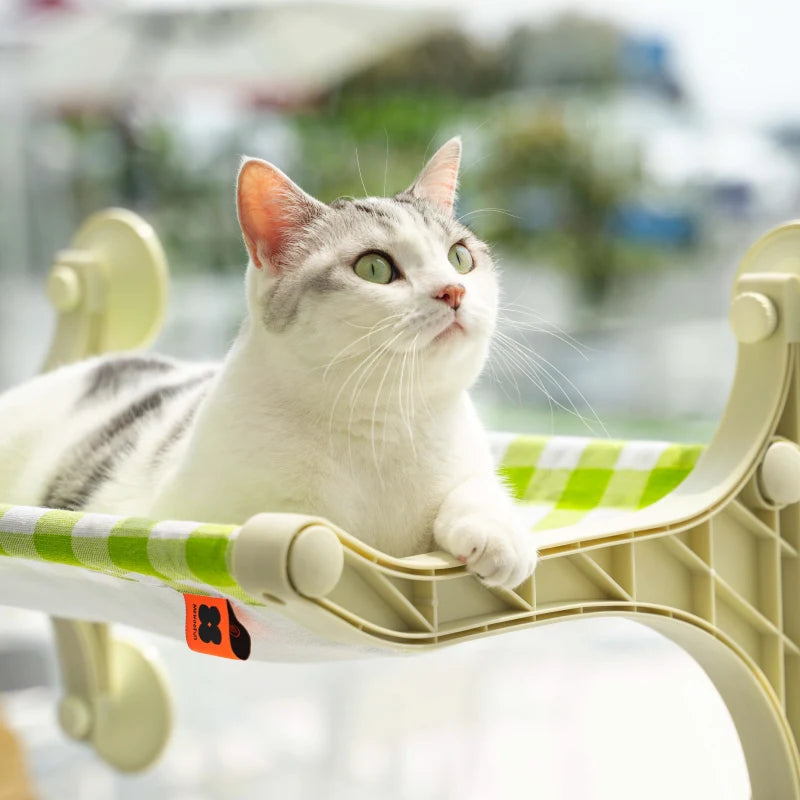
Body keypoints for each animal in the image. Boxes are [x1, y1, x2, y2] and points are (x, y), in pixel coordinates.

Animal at [0, 136, 540, 588]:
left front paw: (498, 533)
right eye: (375, 268)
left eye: (460, 258)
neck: (381, 424)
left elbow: (477, 487)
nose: (453, 291)